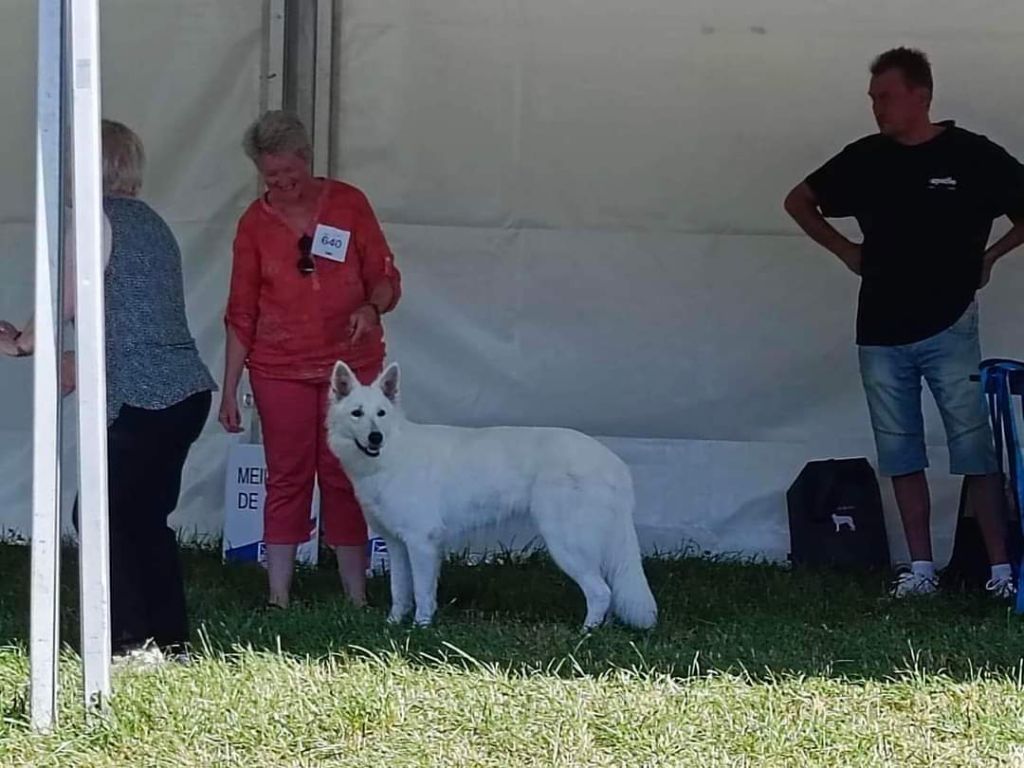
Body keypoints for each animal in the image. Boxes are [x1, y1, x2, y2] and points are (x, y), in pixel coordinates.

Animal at [325, 360, 655, 630]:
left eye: (381, 414)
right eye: (357, 414)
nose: (375, 437)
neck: (392, 453)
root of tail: (613, 463)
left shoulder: (422, 542)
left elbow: (422, 591)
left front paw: (421, 627)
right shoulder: (396, 544)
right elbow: (400, 590)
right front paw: (393, 624)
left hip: (567, 543)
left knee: (601, 592)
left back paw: (585, 634)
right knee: (607, 591)